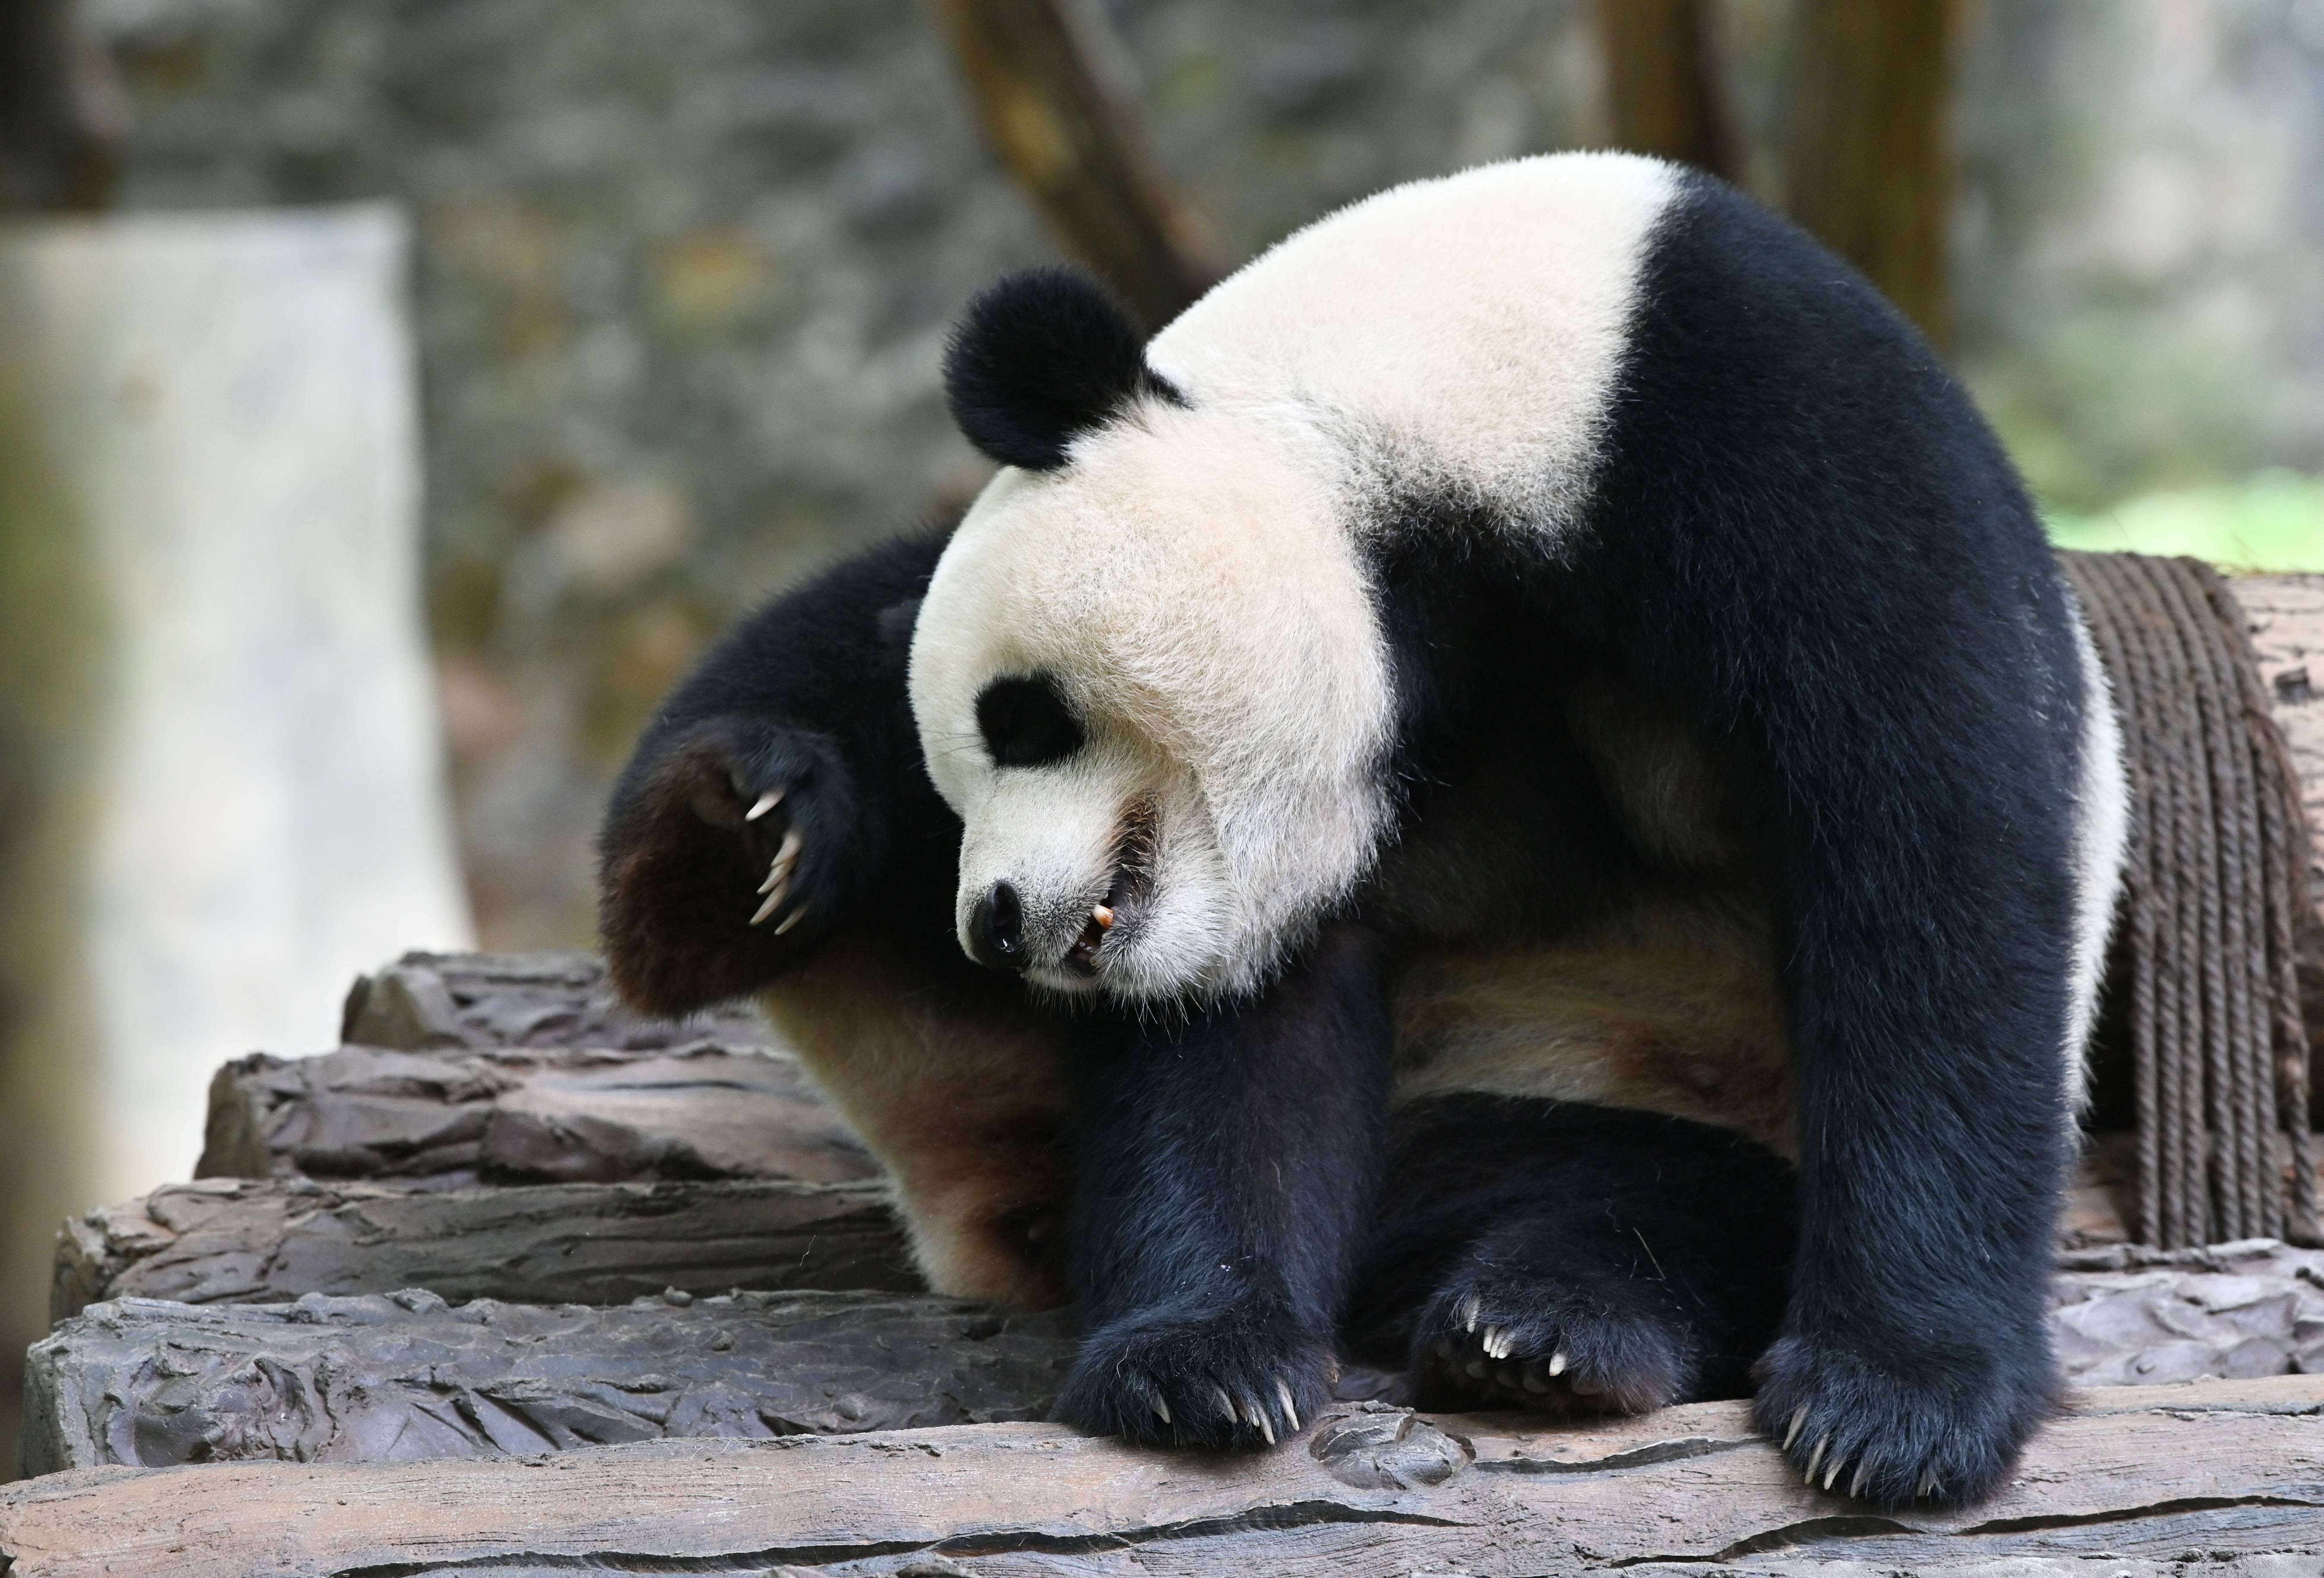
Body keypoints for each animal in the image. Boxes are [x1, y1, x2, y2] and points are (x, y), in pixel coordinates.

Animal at [901, 155, 2128, 1515]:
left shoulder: (1762, 427)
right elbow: (1239, 1040)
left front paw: (1894, 1407)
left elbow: (1929, 857)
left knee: (1693, 1205)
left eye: (1017, 717)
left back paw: (1552, 1326)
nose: (995, 924)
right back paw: (1531, 1328)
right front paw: (1201, 1362)